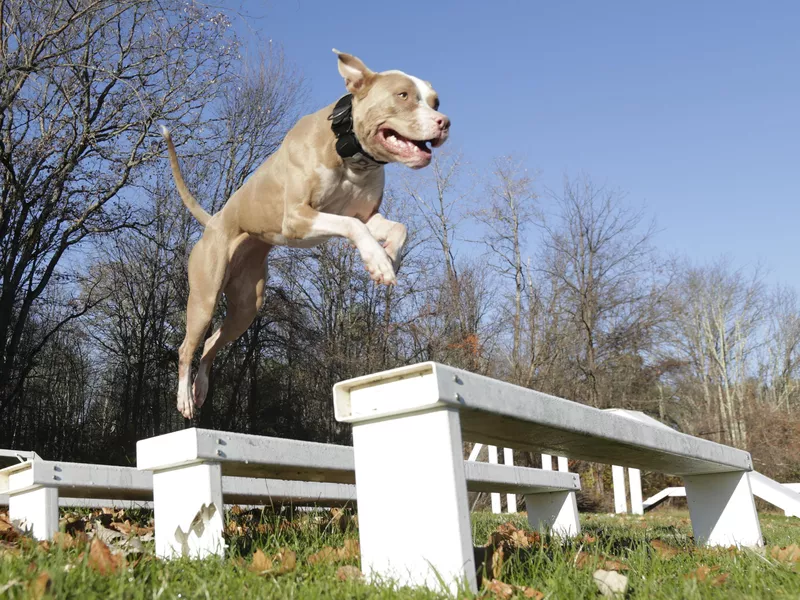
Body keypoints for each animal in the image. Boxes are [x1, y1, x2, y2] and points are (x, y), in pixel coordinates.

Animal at [161, 50, 450, 418]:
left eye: (435, 101)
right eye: (403, 95)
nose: (444, 122)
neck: (348, 152)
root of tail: (214, 221)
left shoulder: (366, 215)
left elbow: (399, 228)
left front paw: (387, 261)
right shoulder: (299, 218)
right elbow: (353, 227)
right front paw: (378, 261)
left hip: (246, 306)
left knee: (212, 342)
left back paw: (200, 389)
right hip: (204, 296)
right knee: (187, 346)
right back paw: (185, 397)